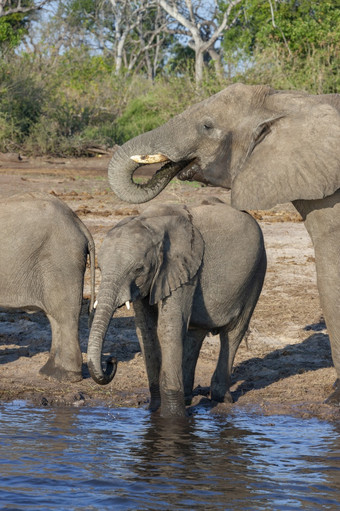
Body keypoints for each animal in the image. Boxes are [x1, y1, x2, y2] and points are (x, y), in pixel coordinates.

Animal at [0, 193, 95, 384]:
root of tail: (78, 222)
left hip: (61, 260)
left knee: (64, 314)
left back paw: (66, 376)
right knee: (54, 315)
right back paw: (51, 372)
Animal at [87, 202, 266, 418]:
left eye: (138, 269)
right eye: (101, 268)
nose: (111, 361)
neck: (152, 224)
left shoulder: (184, 270)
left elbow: (168, 328)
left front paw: (173, 418)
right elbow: (146, 331)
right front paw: (154, 409)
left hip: (257, 272)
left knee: (233, 333)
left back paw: (221, 398)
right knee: (195, 333)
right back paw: (188, 398)